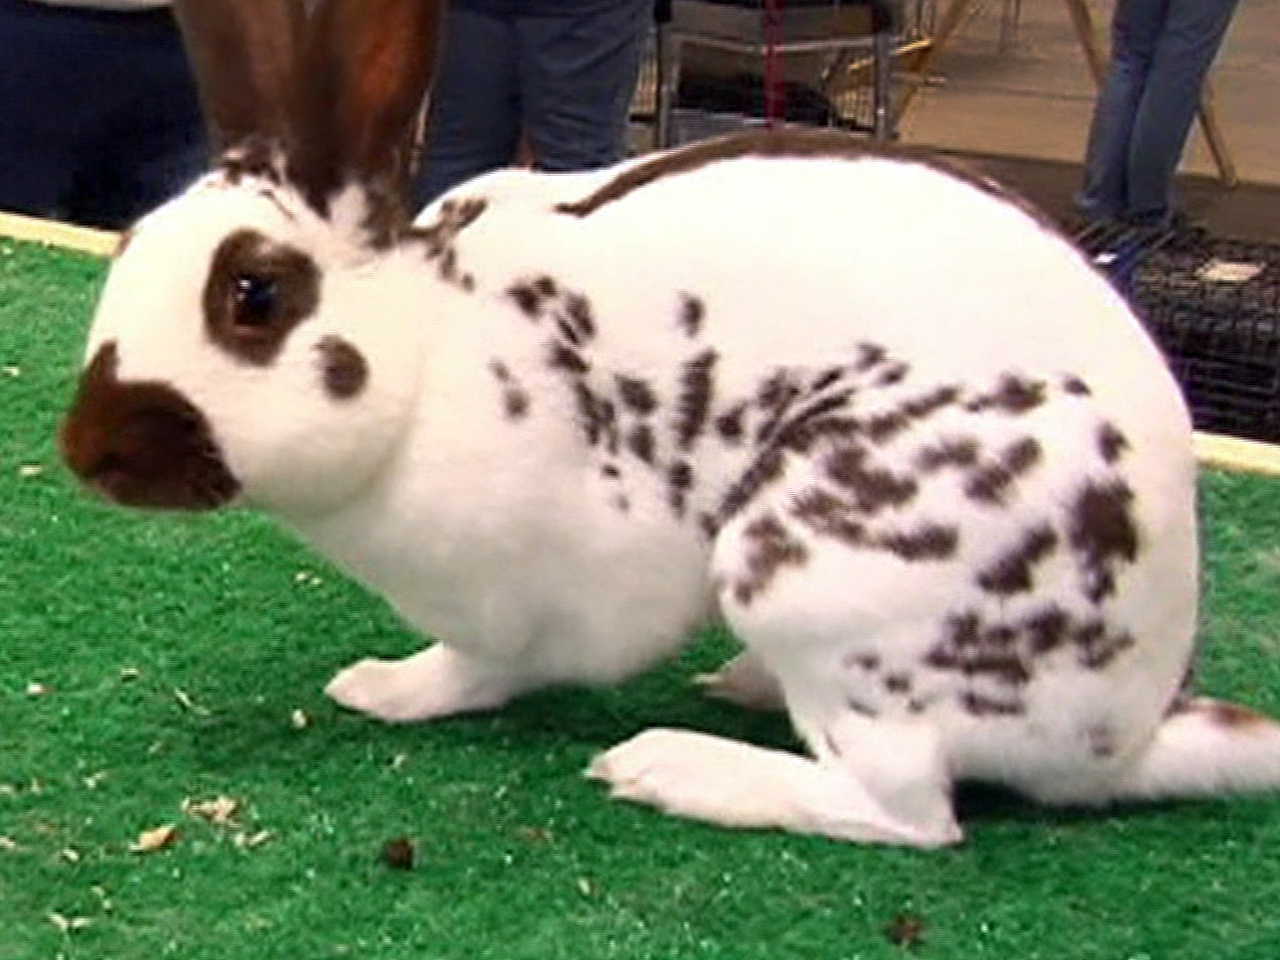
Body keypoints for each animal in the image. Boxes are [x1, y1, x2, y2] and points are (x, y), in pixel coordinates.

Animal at [60, 0, 1280, 849]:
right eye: (129, 245)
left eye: (253, 296)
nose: (87, 453)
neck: (432, 347)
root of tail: (1125, 730)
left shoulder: (531, 597)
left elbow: (478, 668)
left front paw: (384, 689)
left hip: (812, 565)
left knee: (904, 809)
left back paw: (674, 766)